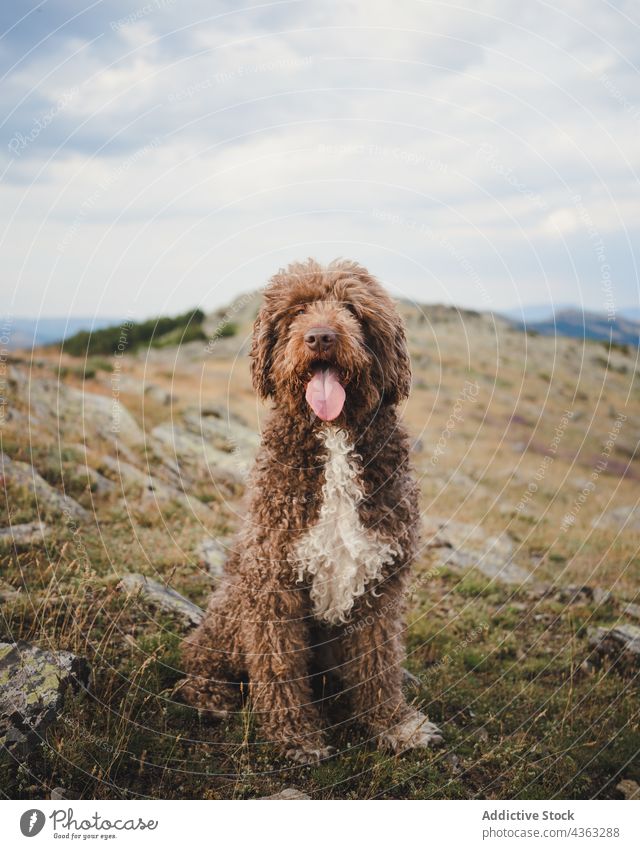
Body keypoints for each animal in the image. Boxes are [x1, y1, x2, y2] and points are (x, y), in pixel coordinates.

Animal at [178, 256, 442, 760]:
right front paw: (295, 735)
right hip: (233, 602)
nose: (320, 337)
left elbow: (378, 663)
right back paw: (209, 696)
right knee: (199, 654)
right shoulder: (272, 582)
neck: (333, 436)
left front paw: (394, 725)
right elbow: (279, 667)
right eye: (298, 310)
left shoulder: (379, 584)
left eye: (351, 309)